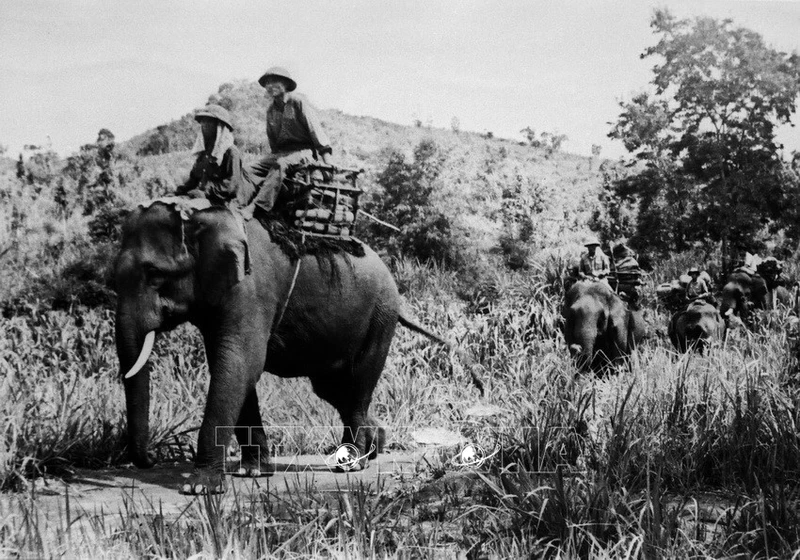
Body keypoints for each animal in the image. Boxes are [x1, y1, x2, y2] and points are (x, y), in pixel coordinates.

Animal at [116, 201, 482, 494]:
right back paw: (372, 446)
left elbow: (239, 363)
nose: (150, 459)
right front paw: (252, 472)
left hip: (380, 317)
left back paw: (352, 462)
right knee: (334, 390)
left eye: (155, 274)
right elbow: (236, 368)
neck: (201, 215)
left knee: (358, 386)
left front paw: (199, 487)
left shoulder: (251, 288)